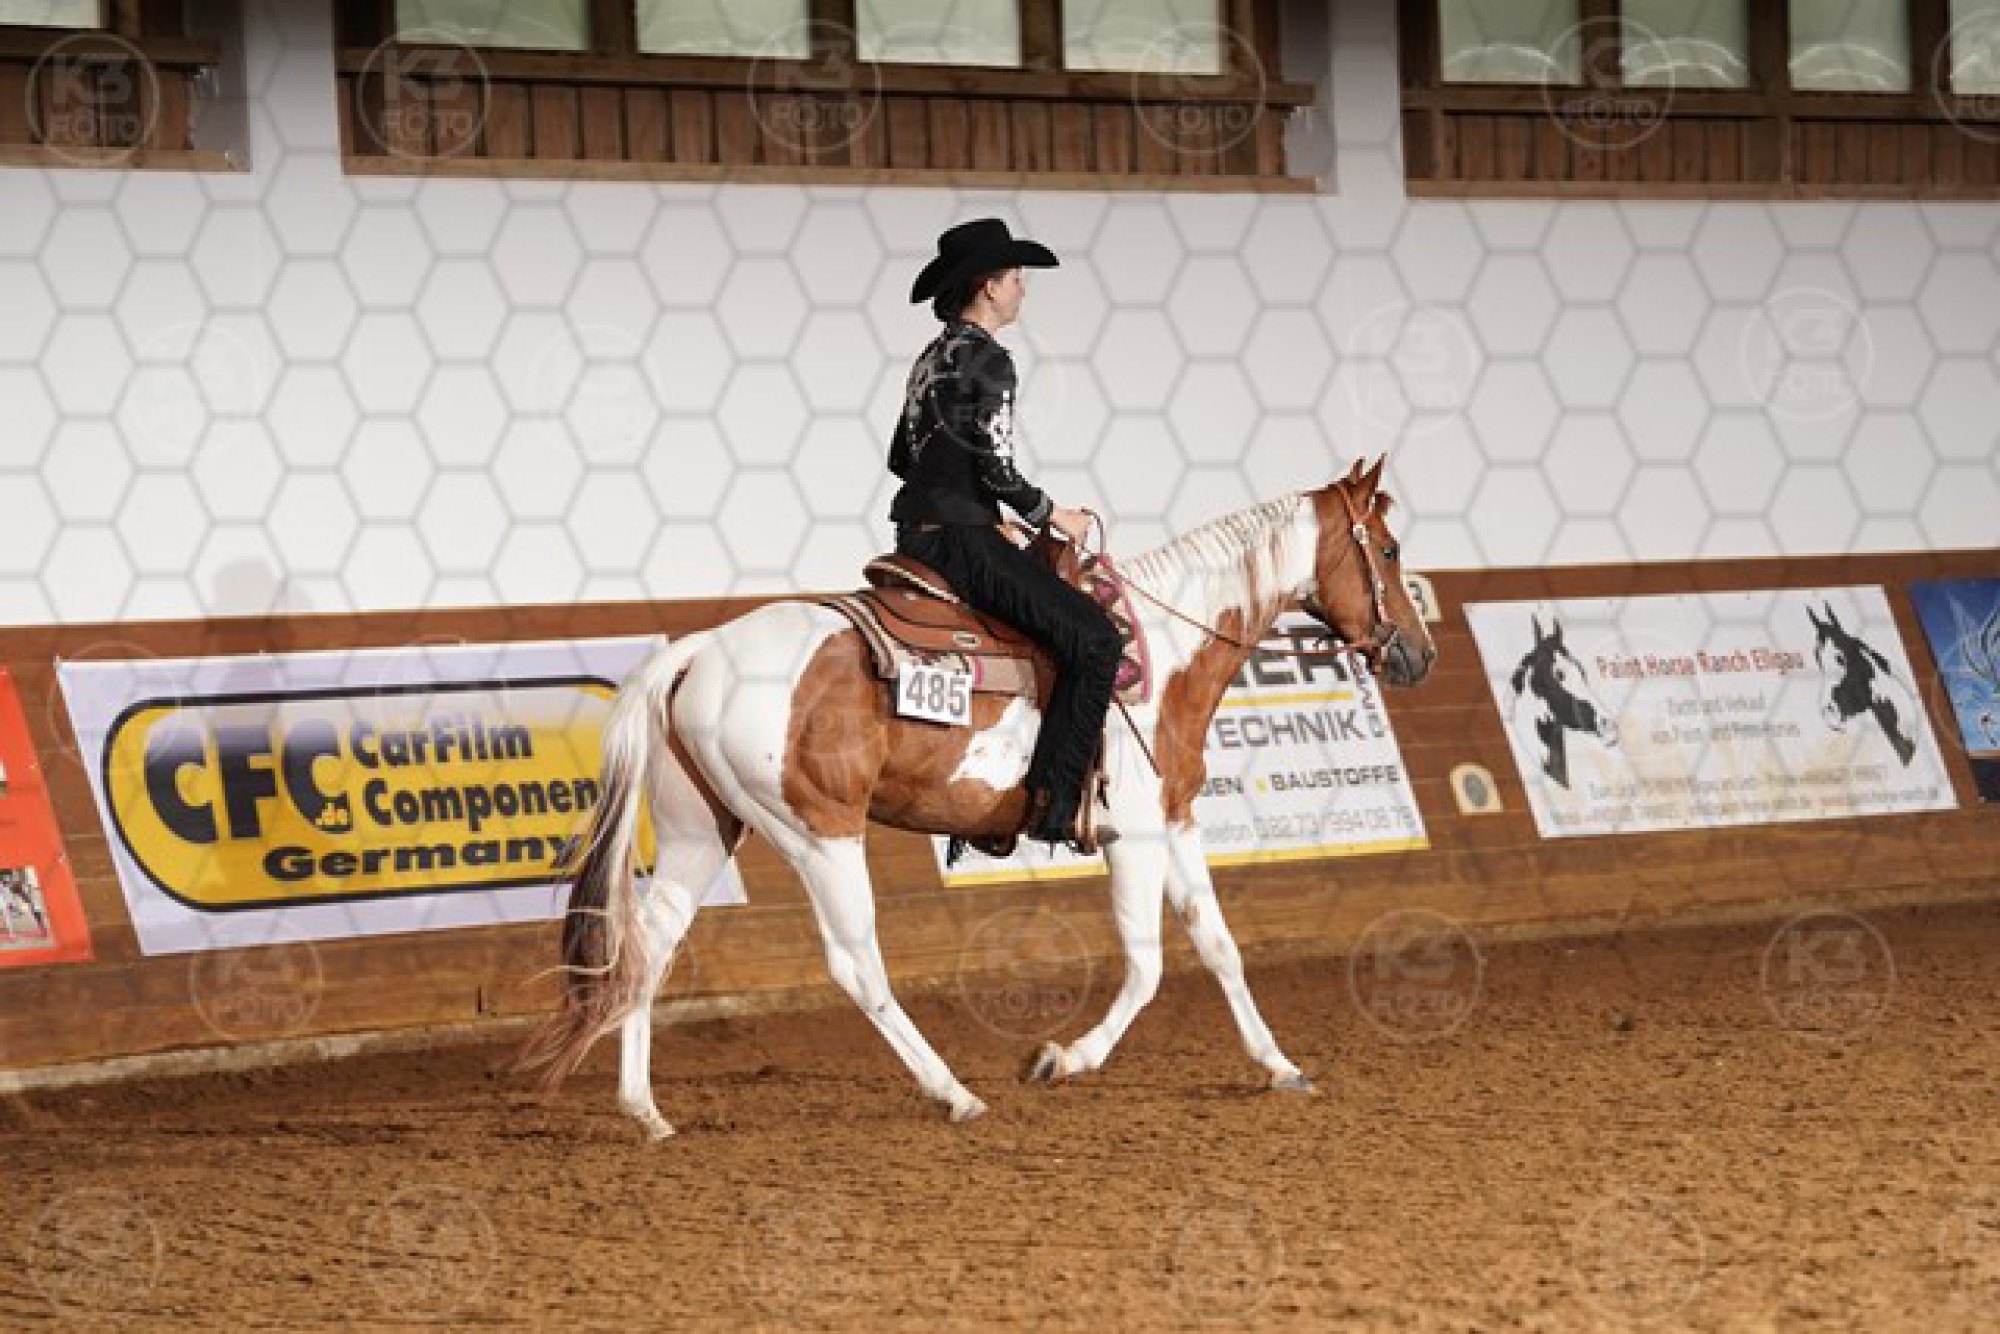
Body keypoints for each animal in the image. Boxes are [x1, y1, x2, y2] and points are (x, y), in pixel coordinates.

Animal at [515, 457, 1435, 1139]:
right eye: (1388, 551)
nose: (1418, 655)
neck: (1167, 651)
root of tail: (699, 649)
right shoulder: (1135, 835)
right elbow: (1148, 965)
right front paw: (1062, 1059)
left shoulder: (1174, 822)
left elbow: (1219, 946)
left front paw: (1278, 1064)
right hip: (820, 834)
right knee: (855, 964)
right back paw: (953, 1092)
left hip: (704, 832)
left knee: (650, 944)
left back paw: (646, 1111)